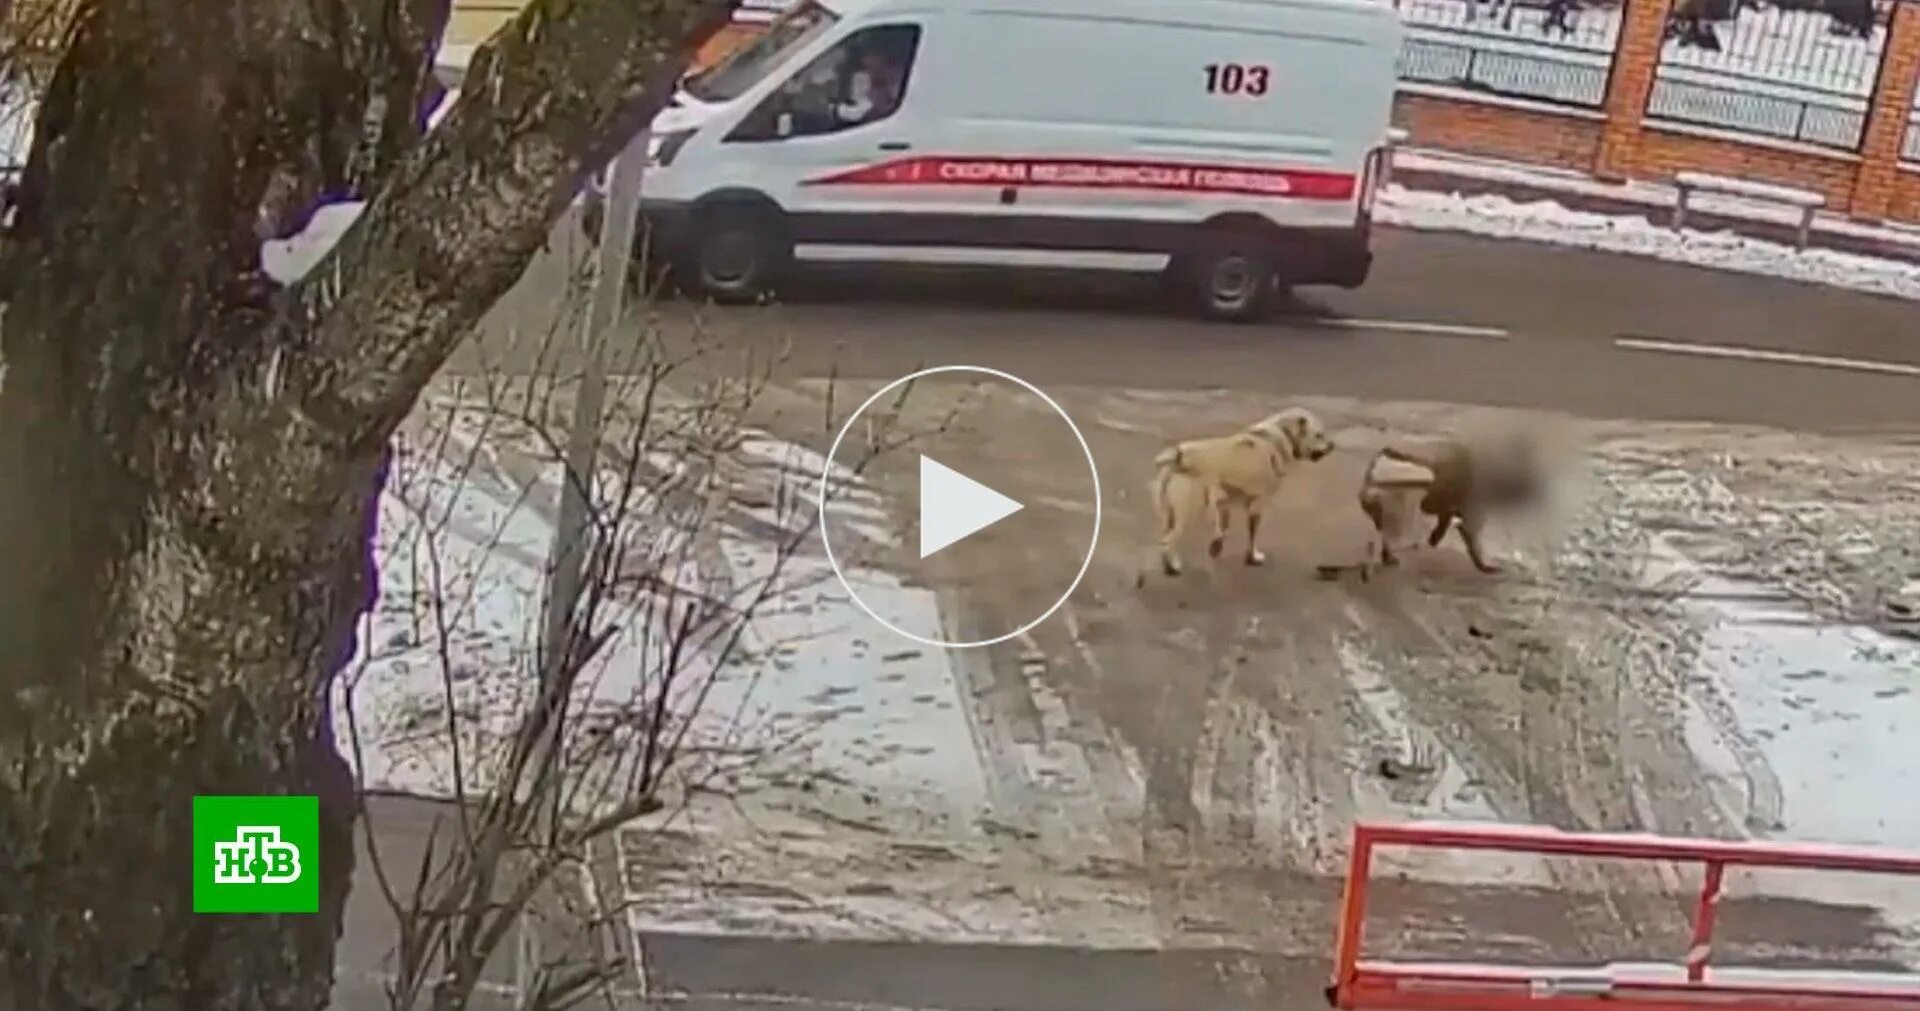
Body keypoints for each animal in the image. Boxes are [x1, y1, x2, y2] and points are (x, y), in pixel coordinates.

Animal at [1136, 406, 1336, 587]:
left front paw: (1216, 548)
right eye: (1319, 435)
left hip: (1168, 513)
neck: (1278, 437)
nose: (1333, 445)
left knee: (1163, 537)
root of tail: (1177, 456)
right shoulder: (1257, 504)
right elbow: (1252, 536)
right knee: (1167, 542)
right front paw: (1253, 557)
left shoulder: (1223, 502)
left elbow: (1223, 528)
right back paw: (1172, 567)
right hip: (1189, 511)